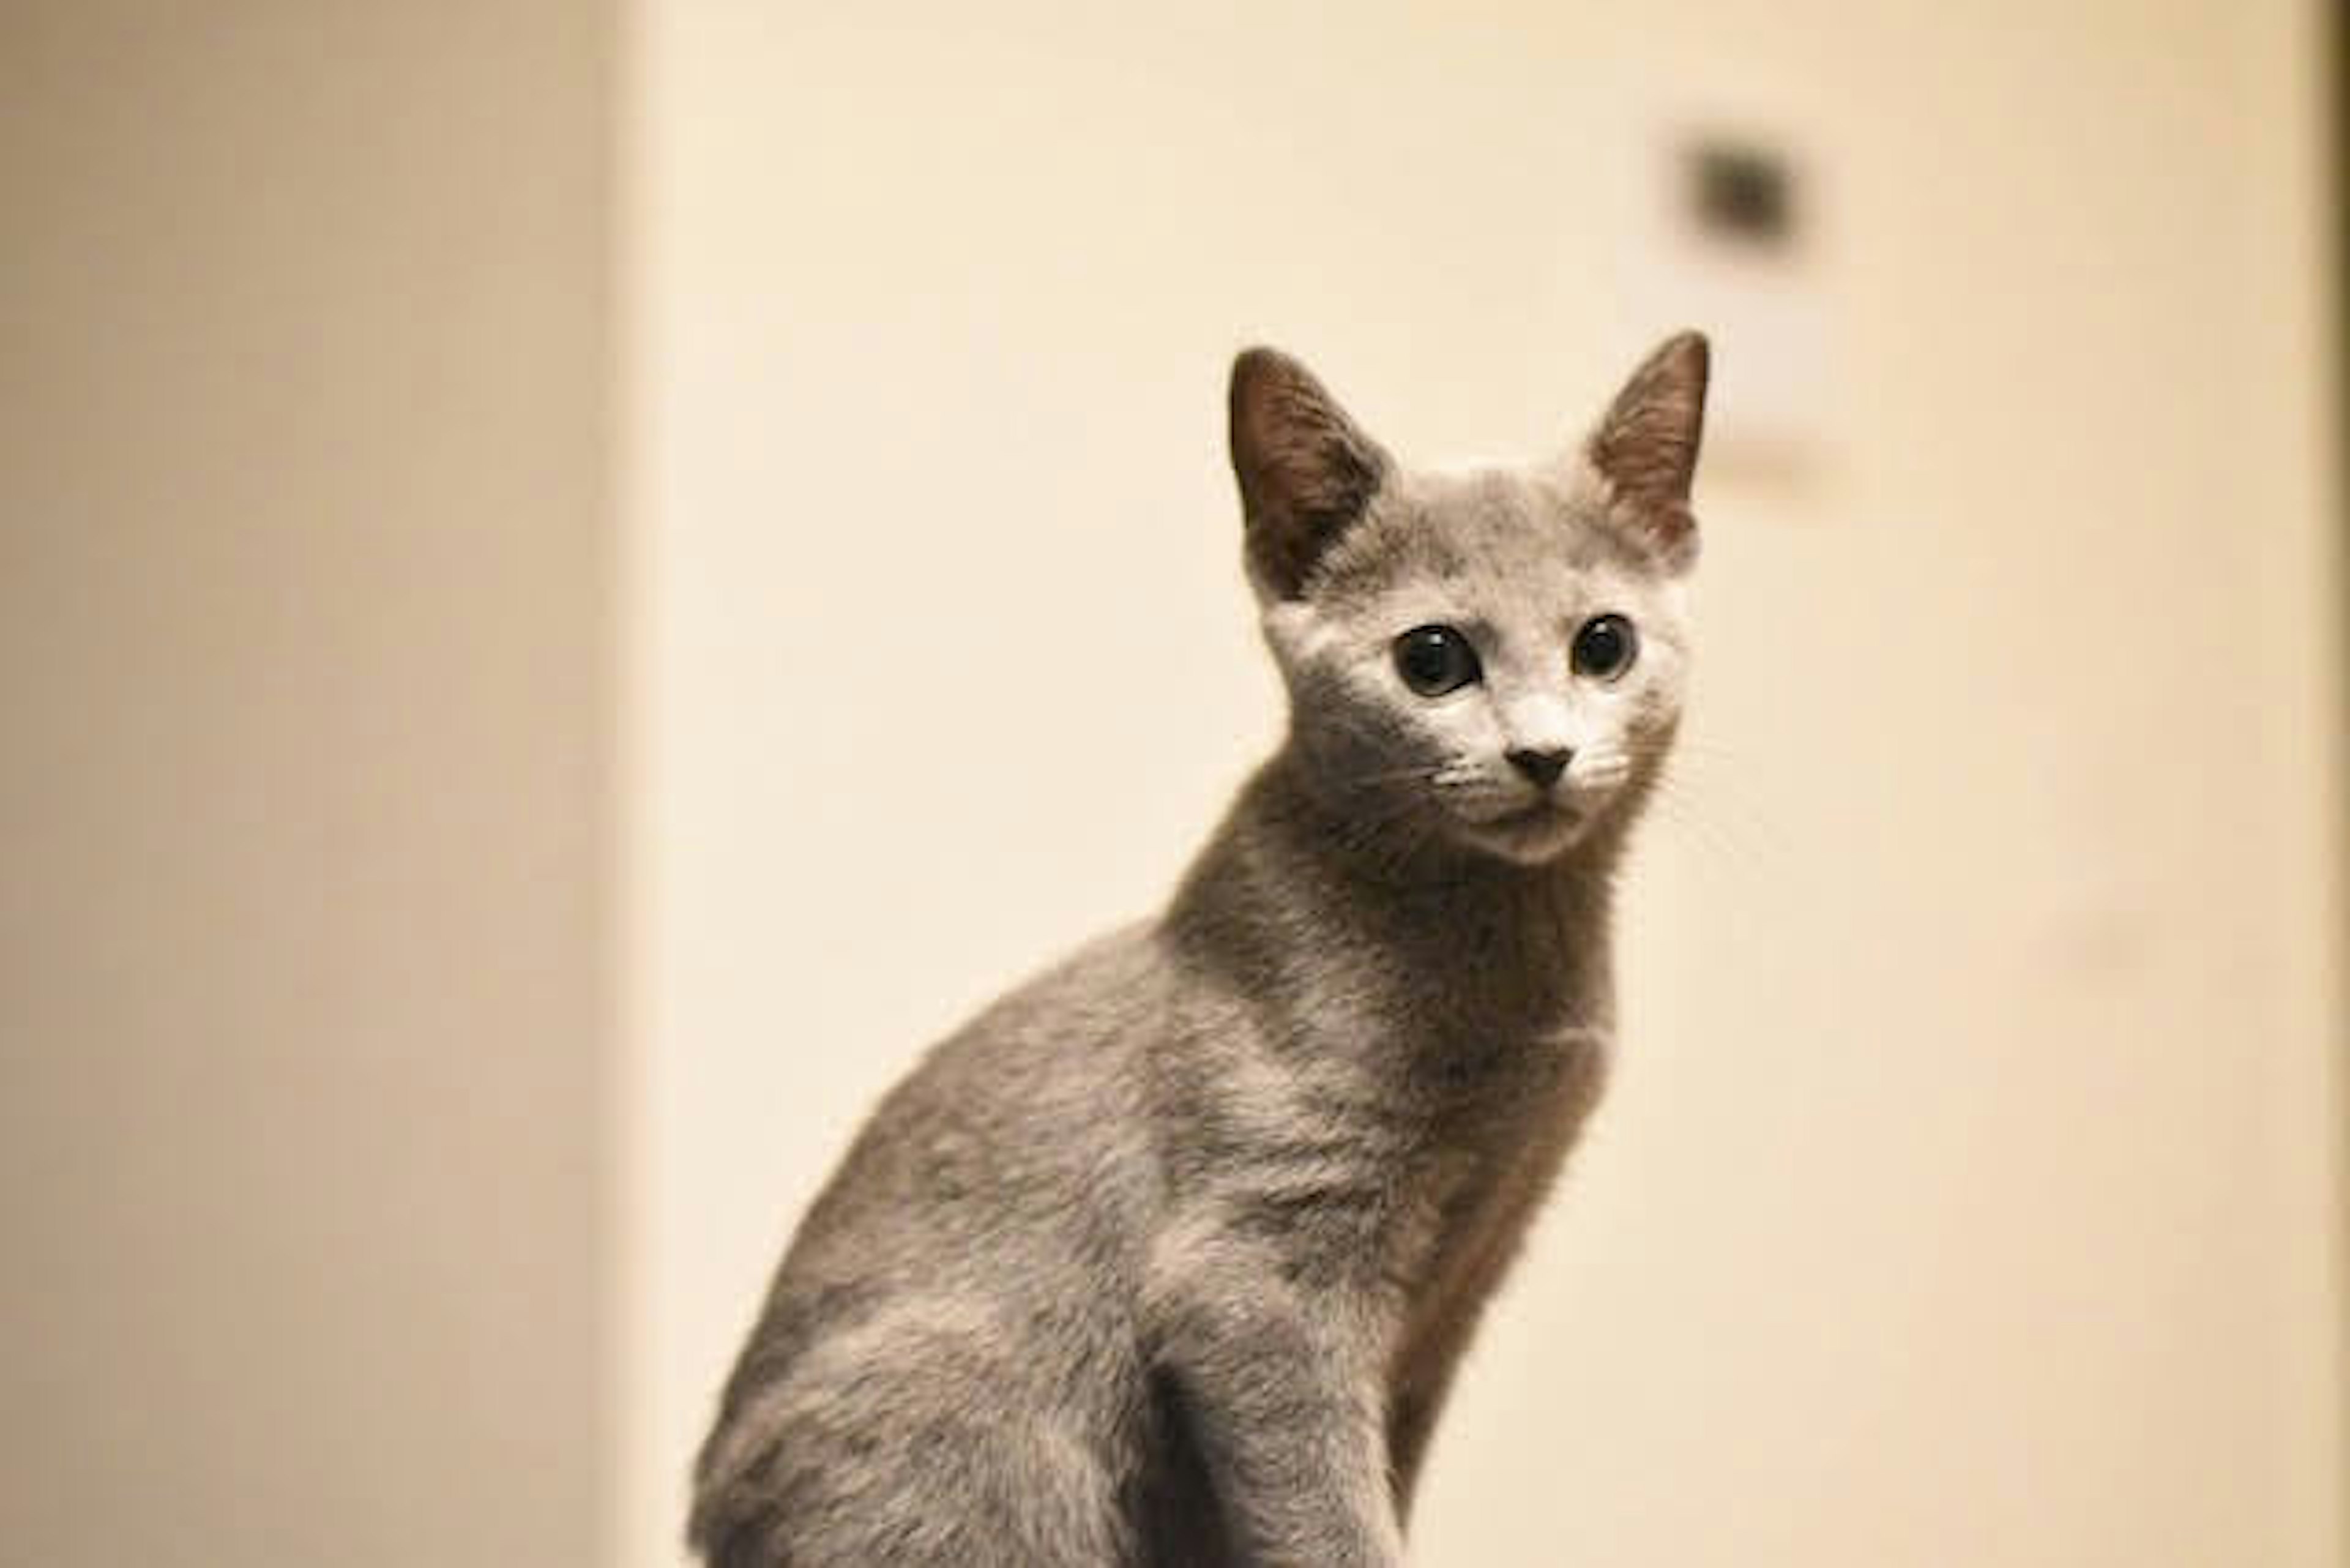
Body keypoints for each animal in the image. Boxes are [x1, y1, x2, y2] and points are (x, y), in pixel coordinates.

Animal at [686, 324, 1720, 1561]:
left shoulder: (1454, 1294)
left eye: (1603, 644)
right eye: (1433, 660)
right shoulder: (1256, 1272)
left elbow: (1383, 1479)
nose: (1543, 752)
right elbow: (1327, 1510)